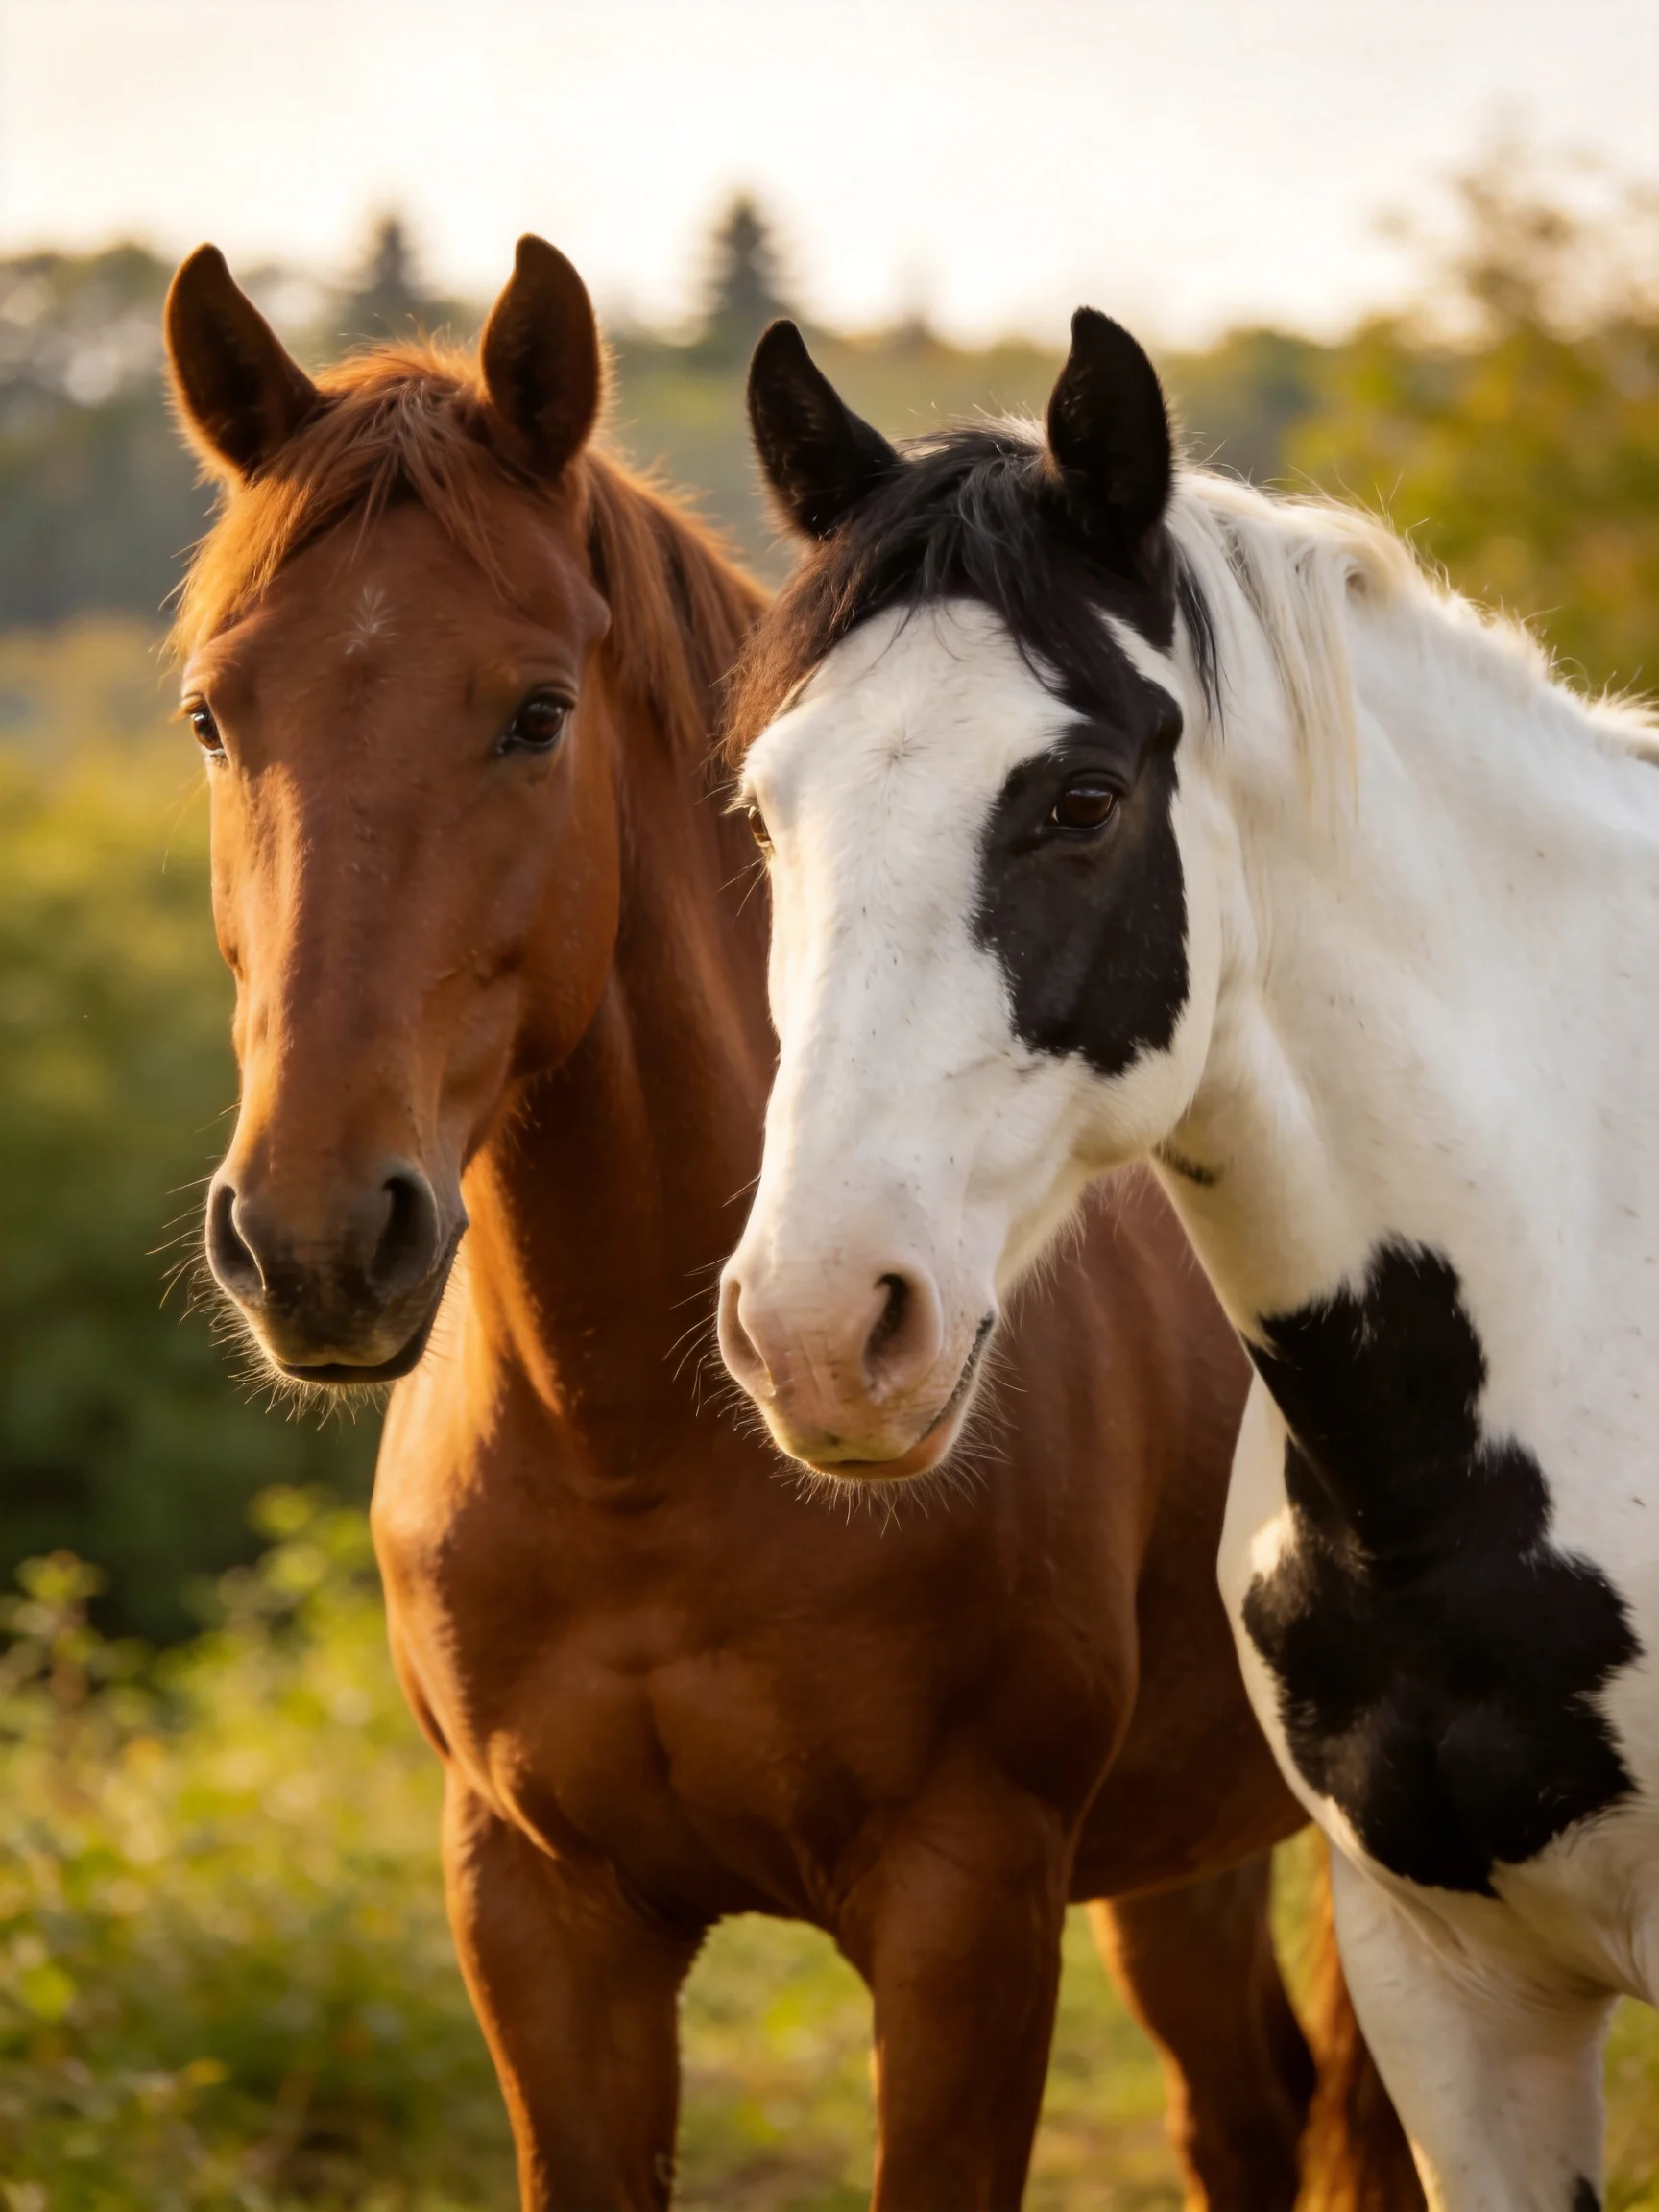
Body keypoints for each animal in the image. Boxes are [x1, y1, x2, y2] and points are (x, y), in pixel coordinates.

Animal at [161, 239, 1413, 2211]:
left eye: (536, 710)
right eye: (219, 716)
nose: (313, 1237)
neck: (643, 1457)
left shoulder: (965, 1912)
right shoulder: (539, 1919)